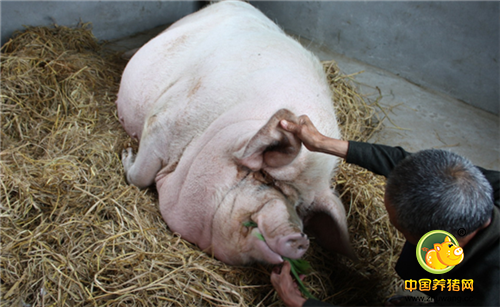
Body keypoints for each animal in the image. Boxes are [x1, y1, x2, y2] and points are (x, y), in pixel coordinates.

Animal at [115, 0, 354, 264]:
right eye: (266, 177)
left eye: (301, 207)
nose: (301, 239)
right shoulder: (163, 120)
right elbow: (139, 177)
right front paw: (126, 154)